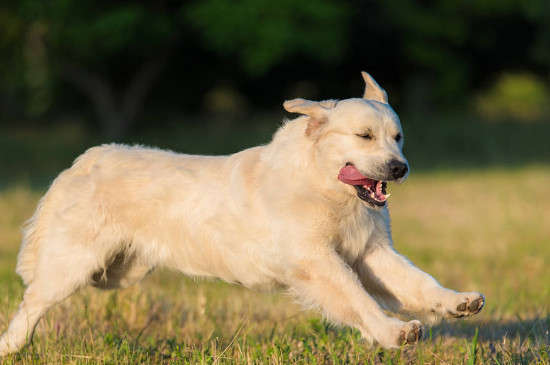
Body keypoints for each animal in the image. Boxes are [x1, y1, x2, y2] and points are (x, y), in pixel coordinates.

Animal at [0, 71, 486, 352]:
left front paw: (456, 302)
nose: (400, 168)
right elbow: (356, 298)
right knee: (29, 305)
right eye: (364, 136)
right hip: (71, 265)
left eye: (397, 137)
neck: (324, 184)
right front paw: (391, 332)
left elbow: (418, 282)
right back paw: (13, 348)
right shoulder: (315, 262)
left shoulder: (371, 253)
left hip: (117, 271)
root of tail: (83, 160)